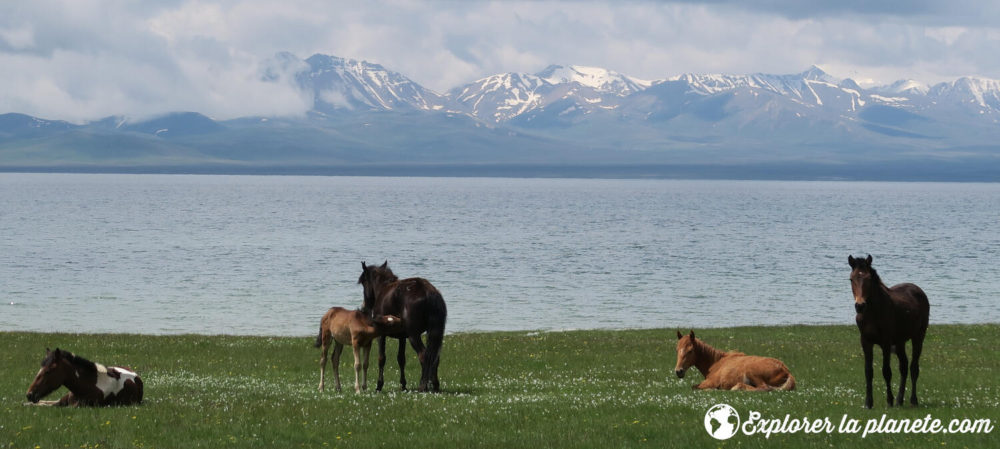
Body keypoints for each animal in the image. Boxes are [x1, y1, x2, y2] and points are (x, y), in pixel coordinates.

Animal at [360, 260, 446, 390]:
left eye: (363, 282)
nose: (365, 307)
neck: (383, 289)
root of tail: (428, 291)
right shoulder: (402, 337)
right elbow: (401, 359)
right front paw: (403, 385)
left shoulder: (381, 334)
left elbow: (381, 358)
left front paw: (379, 385)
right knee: (434, 357)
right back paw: (435, 385)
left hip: (413, 335)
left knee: (423, 355)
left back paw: (423, 386)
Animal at [852, 254, 928, 408]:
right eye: (851, 279)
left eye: (868, 279)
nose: (860, 306)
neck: (872, 312)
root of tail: (919, 290)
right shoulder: (865, 341)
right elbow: (868, 372)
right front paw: (868, 403)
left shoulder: (885, 343)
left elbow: (886, 371)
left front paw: (889, 401)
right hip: (900, 342)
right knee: (904, 366)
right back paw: (900, 400)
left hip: (918, 337)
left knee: (913, 368)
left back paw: (913, 400)